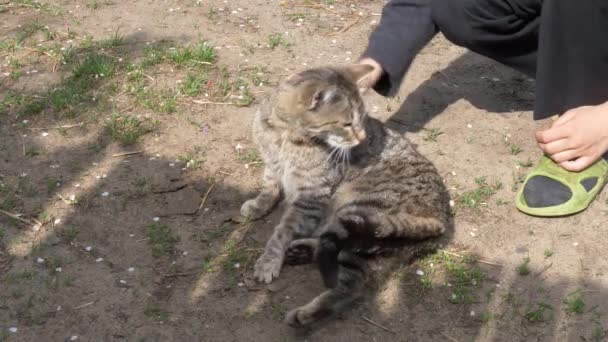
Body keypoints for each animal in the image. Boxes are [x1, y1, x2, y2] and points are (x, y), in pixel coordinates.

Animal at [240, 64, 454, 326]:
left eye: (361, 120)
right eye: (347, 123)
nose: (361, 138)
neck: (285, 135)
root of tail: (441, 219)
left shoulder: (310, 197)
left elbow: (282, 231)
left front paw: (269, 260)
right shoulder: (273, 165)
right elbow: (269, 186)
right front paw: (258, 204)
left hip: (357, 209)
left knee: (348, 283)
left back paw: (304, 314)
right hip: (372, 242)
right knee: (343, 260)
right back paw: (303, 253)